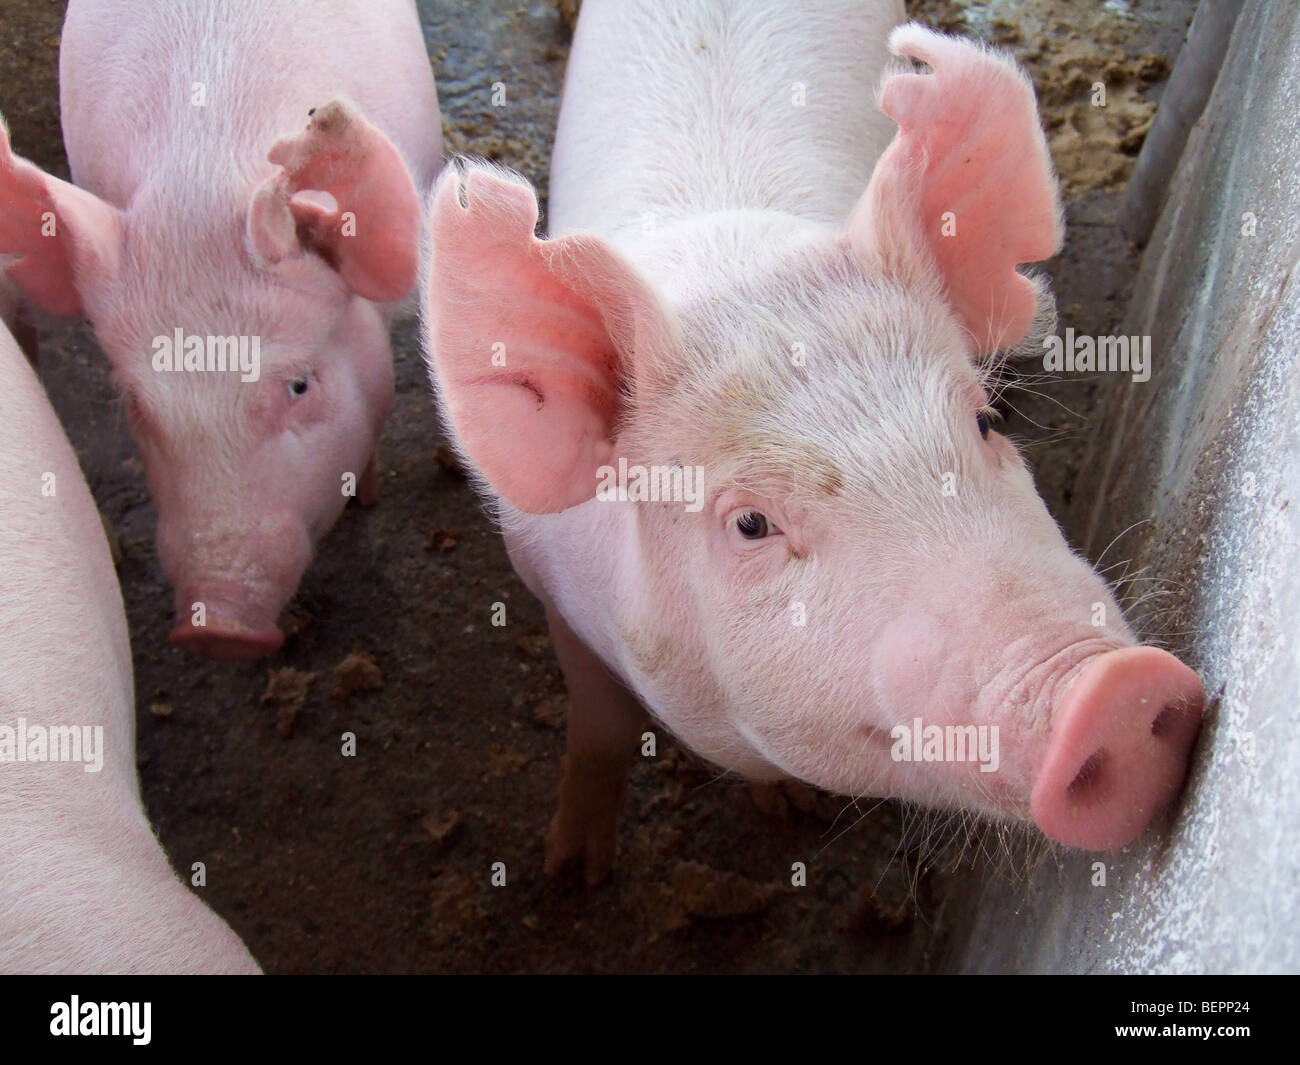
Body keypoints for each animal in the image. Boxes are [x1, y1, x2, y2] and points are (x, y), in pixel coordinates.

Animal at [426, 0, 1206, 884]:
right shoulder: (551, 585)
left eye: (985, 422)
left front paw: (793, 808)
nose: (1115, 688)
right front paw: (573, 875)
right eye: (750, 523)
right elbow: (599, 723)